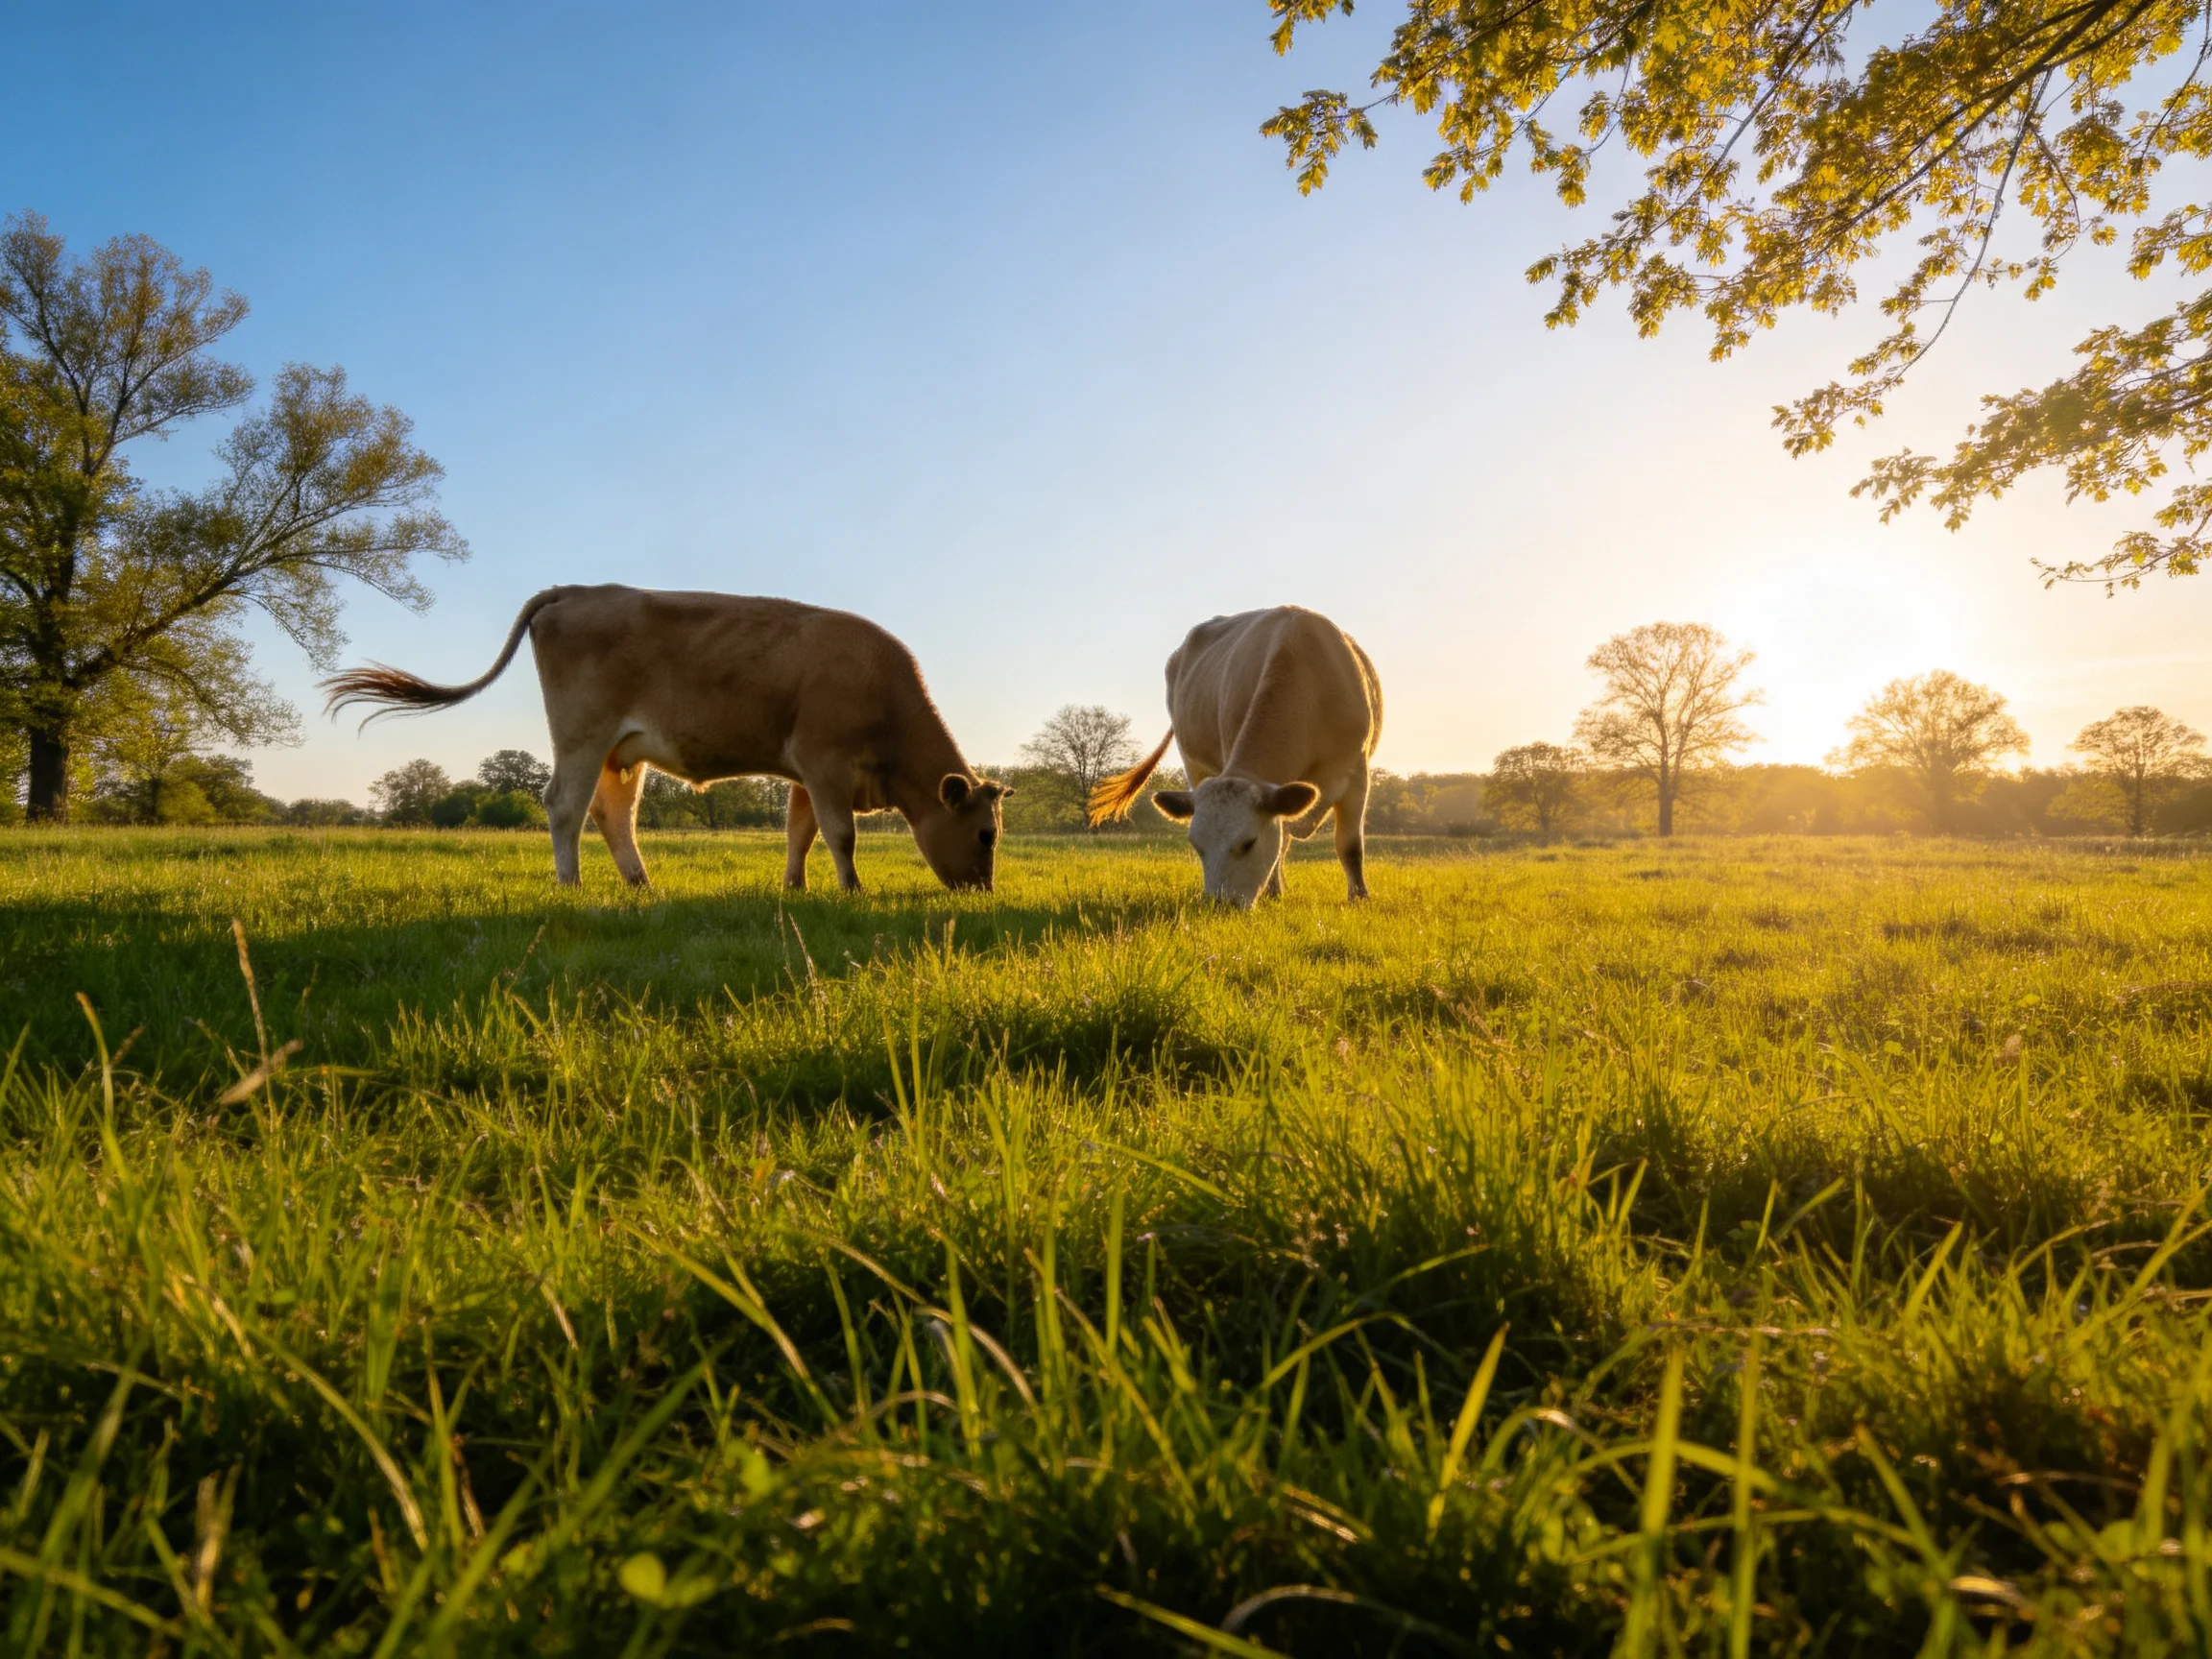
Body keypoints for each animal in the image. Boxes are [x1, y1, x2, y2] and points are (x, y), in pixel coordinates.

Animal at [322, 586, 1010, 893]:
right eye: (985, 834)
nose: (983, 889)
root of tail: (580, 589)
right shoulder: (825, 763)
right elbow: (841, 835)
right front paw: (853, 891)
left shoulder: (807, 775)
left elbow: (802, 833)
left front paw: (795, 889)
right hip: (581, 735)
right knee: (564, 807)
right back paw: (570, 886)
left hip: (618, 752)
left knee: (612, 814)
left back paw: (640, 884)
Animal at [1087, 606, 1381, 907]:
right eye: (1197, 846)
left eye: (1249, 843)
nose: (1220, 904)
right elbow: (1280, 843)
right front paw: (1273, 892)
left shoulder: (1357, 774)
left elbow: (1349, 846)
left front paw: (1360, 899)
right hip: (1193, 763)